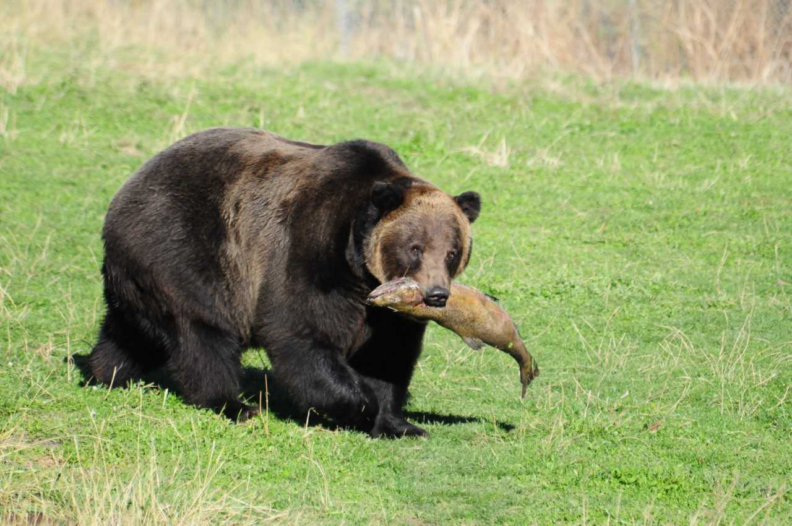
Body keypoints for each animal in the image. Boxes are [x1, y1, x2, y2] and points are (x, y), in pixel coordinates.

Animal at [88, 127, 481, 438]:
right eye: (415, 248)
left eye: (452, 251)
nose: (435, 295)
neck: (358, 270)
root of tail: (131, 182)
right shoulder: (307, 251)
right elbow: (301, 333)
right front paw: (359, 404)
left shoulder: (387, 315)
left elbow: (387, 355)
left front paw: (400, 423)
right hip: (184, 249)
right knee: (203, 334)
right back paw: (234, 404)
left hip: (140, 275)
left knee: (128, 331)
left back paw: (103, 372)